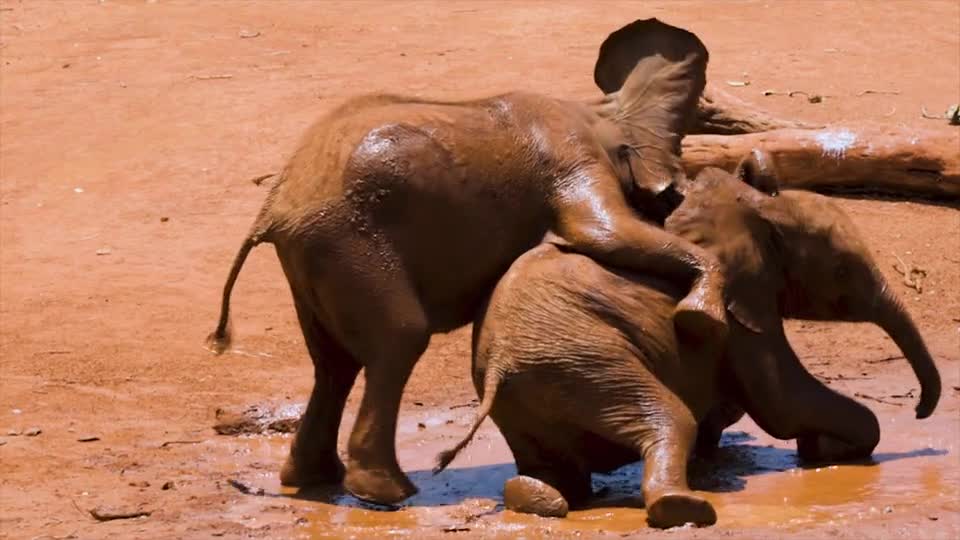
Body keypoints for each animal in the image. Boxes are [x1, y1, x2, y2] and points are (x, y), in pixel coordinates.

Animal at [202, 19, 728, 504]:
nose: (671, 198)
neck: (596, 109)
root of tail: (274, 206)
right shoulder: (572, 155)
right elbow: (601, 233)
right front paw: (703, 317)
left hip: (313, 256)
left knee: (334, 363)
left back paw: (319, 482)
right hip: (349, 243)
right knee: (399, 339)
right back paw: (389, 494)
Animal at [436, 155, 944, 528]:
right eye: (841, 273)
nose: (920, 412)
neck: (755, 209)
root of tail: (499, 365)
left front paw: (821, 449)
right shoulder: (741, 307)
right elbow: (782, 402)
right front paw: (832, 448)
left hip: (530, 400)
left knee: (552, 471)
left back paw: (547, 500)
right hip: (584, 363)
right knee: (671, 419)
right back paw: (686, 509)